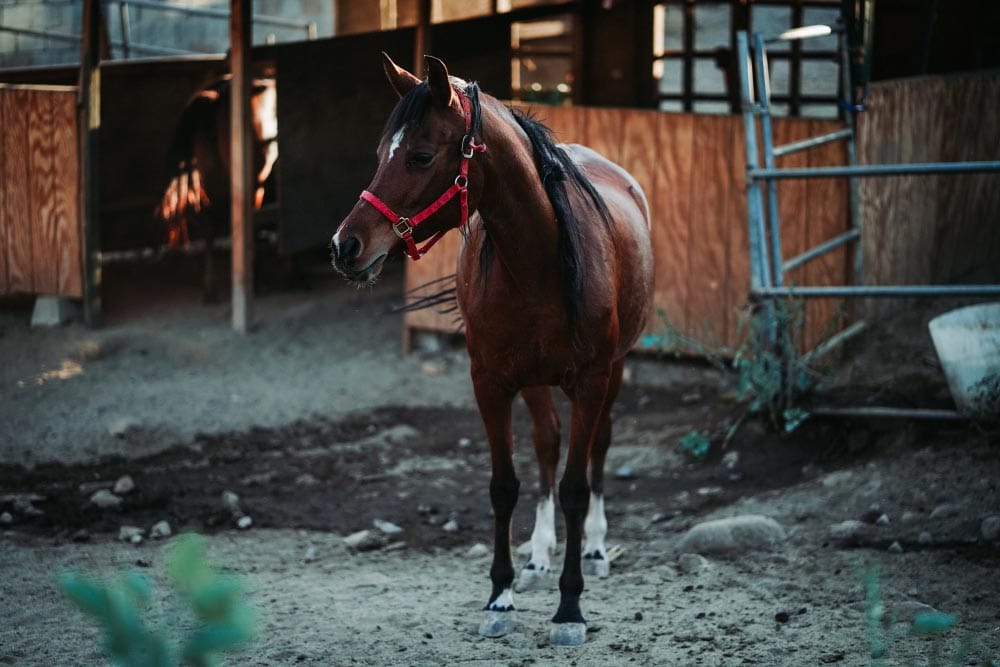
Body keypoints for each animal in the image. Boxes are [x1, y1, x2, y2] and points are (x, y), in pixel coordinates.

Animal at [156, 75, 279, 302]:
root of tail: (215, 96)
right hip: (252, 183)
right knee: (247, 223)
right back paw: (253, 281)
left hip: (214, 183)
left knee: (210, 226)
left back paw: (210, 289)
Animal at [330, 54, 654, 646]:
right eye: (381, 153)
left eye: (420, 155)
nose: (346, 246)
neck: (538, 264)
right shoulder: (491, 381)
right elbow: (505, 486)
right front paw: (500, 598)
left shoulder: (591, 379)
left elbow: (576, 487)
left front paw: (569, 609)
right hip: (536, 382)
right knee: (547, 445)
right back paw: (538, 558)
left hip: (613, 371)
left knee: (597, 449)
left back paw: (595, 549)